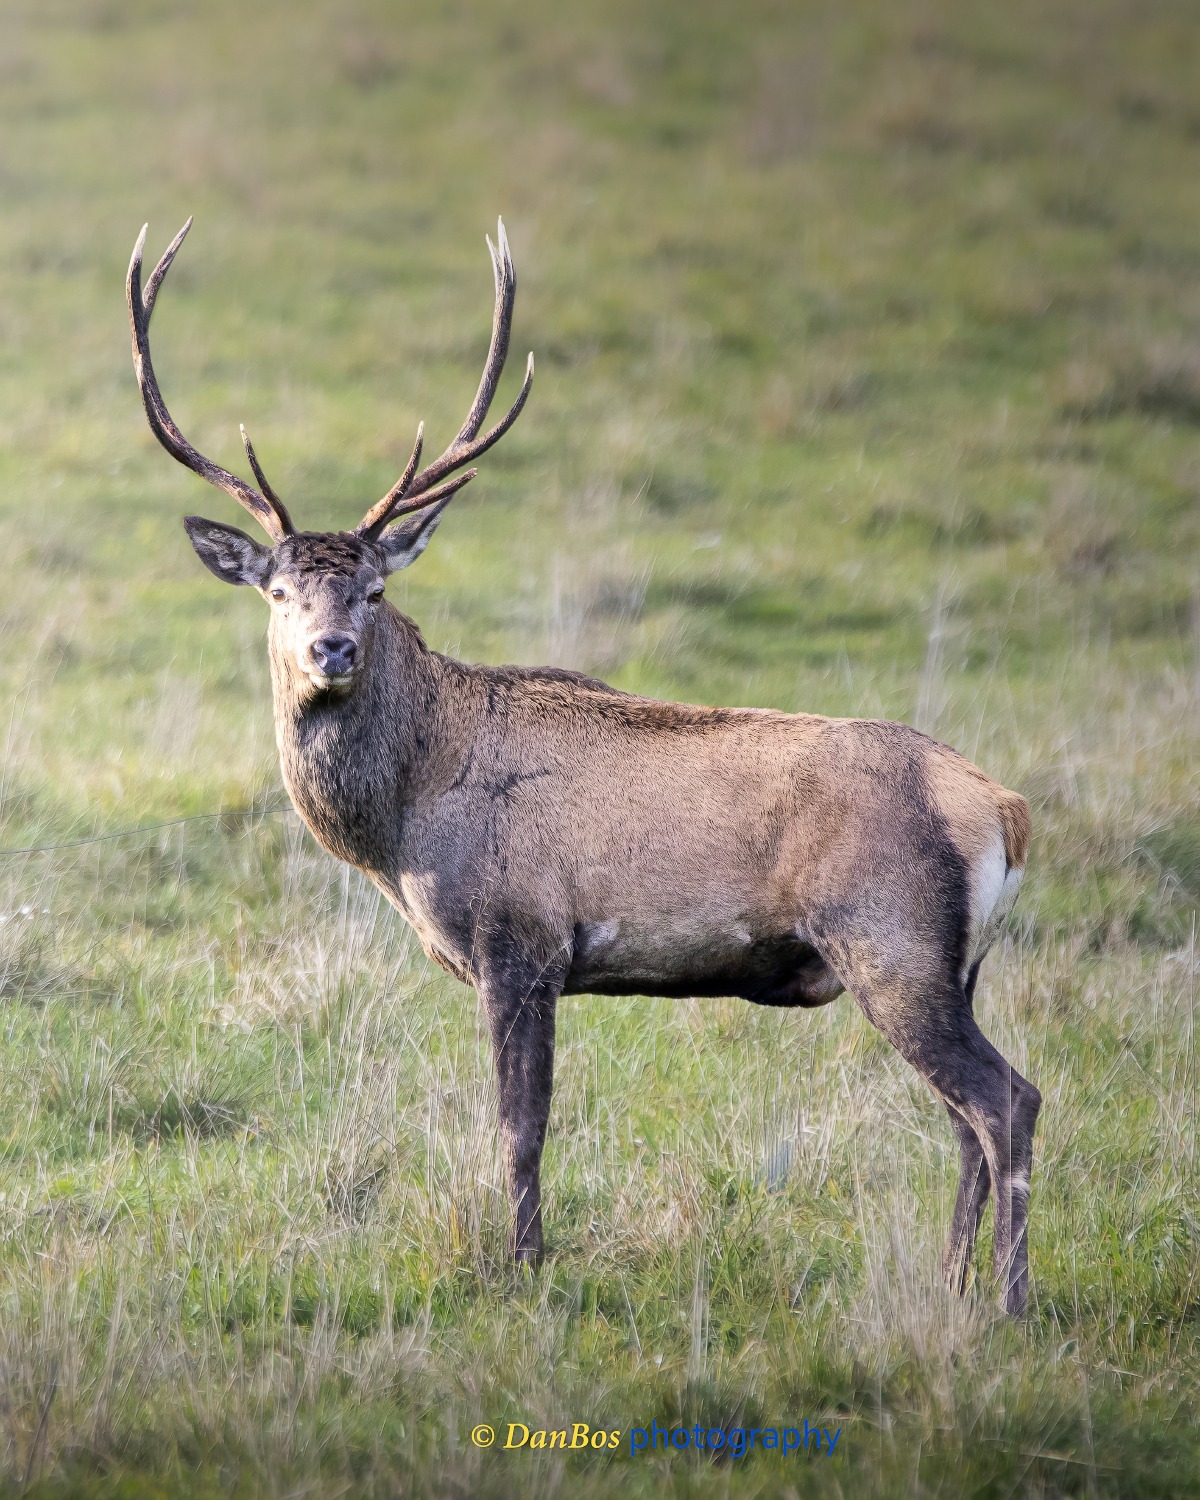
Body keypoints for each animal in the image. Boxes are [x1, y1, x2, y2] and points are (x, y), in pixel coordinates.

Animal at [126, 217, 1041, 1313]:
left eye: (377, 589)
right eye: (277, 591)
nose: (331, 650)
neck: (403, 825)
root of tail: (1003, 809)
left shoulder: (519, 938)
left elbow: (520, 1127)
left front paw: (523, 1267)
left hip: (889, 939)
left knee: (1007, 1101)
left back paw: (1007, 1302)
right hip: (955, 964)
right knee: (966, 1118)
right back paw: (951, 1285)